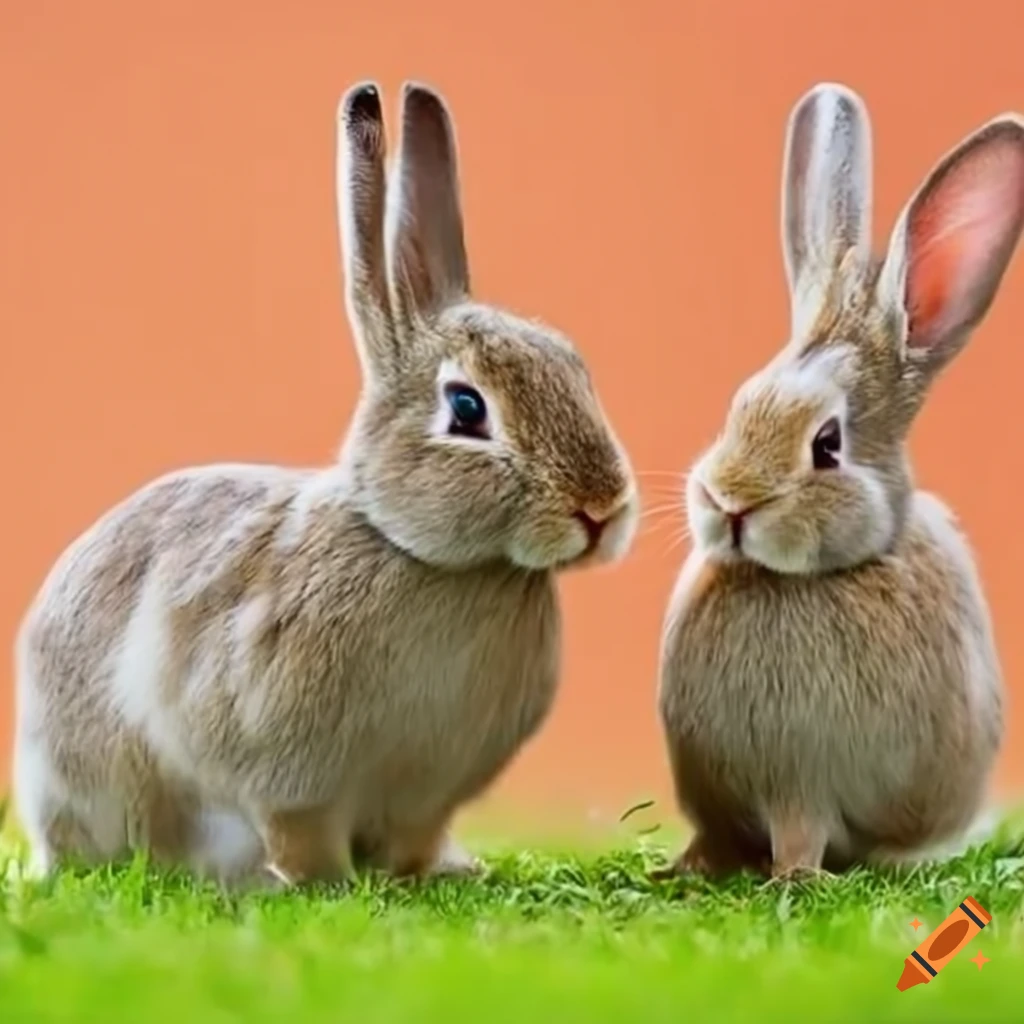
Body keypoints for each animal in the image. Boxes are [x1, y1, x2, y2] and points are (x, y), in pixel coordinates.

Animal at [12, 81, 638, 886]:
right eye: (467, 409)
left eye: (572, 364)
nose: (601, 509)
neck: (422, 553)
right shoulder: (285, 771)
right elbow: (298, 831)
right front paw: (321, 883)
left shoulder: (425, 794)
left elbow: (414, 837)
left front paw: (428, 873)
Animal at [657, 82, 1024, 881]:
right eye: (740, 402)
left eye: (827, 445)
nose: (728, 500)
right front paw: (679, 869)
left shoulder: (803, 789)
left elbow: (802, 832)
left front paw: (794, 877)